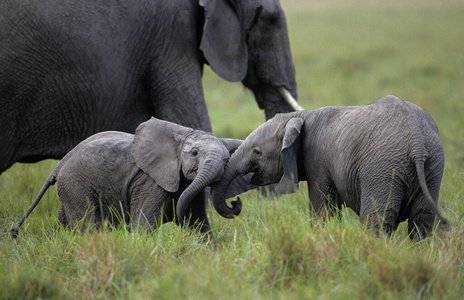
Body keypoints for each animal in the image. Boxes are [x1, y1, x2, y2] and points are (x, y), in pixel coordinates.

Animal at [9, 116, 252, 240]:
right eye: (194, 153)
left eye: (227, 159)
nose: (235, 202)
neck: (181, 136)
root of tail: (59, 166)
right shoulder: (150, 181)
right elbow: (145, 225)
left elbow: (198, 222)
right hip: (75, 183)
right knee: (86, 224)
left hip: (69, 187)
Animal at [212, 95, 448, 240]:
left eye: (257, 152)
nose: (236, 202)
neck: (300, 116)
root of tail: (417, 142)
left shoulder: (317, 161)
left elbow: (324, 210)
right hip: (433, 165)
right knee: (422, 220)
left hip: (382, 167)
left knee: (377, 219)